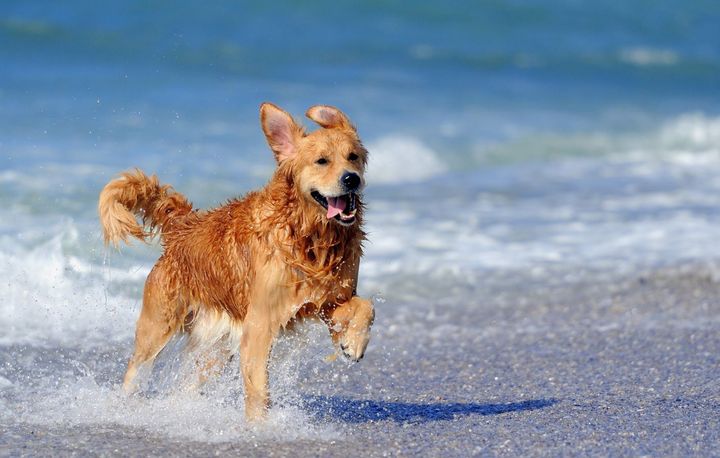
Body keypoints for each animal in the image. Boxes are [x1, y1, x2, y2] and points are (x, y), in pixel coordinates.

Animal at [99, 103, 376, 418]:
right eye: (322, 161)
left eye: (353, 157)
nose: (351, 178)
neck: (309, 236)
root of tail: (183, 226)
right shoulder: (260, 322)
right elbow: (258, 388)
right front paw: (260, 425)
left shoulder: (327, 300)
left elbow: (365, 306)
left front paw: (353, 343)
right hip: (158, 326)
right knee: (135, 369)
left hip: (216, 347)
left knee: (189, 384)